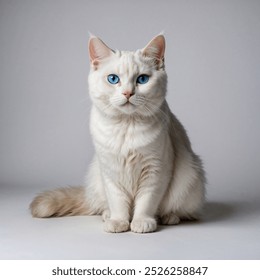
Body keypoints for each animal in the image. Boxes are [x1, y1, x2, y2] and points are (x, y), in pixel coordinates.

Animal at [30, 34, 205, 233]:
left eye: (142, 79)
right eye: (113, 79)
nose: (128, 93)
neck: (126, 126)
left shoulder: (155, 170)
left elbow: (146, 201)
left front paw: (141, 222)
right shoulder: (110, 171)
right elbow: (118, 202)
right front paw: (119, 222)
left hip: (191, 175)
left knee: (182, 211)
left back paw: (168, 217)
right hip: (96, 176)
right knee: (104, 206)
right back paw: (108, 216)